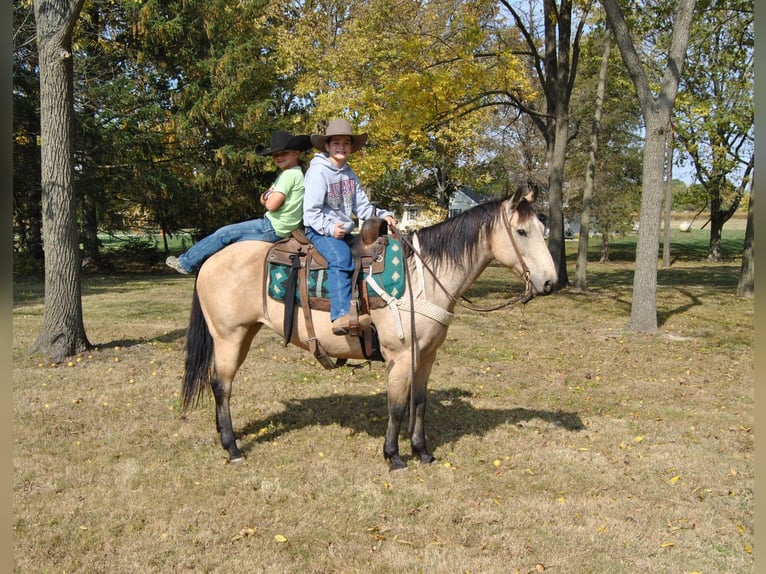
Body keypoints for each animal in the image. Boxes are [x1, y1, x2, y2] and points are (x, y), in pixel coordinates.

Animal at [179, 191, 556, 470]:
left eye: (543, 230)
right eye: (521, 232)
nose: (550, 282)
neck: (422, 277)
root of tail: (210, 261)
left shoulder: (427, 356)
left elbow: (420, 402)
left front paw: (422, 451)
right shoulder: (401, 356)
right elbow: (397, 406)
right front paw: (394, 456)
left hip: (243, 334)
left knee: (218, 383)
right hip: (230, 336)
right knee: (221, 385)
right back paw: (232, 447)